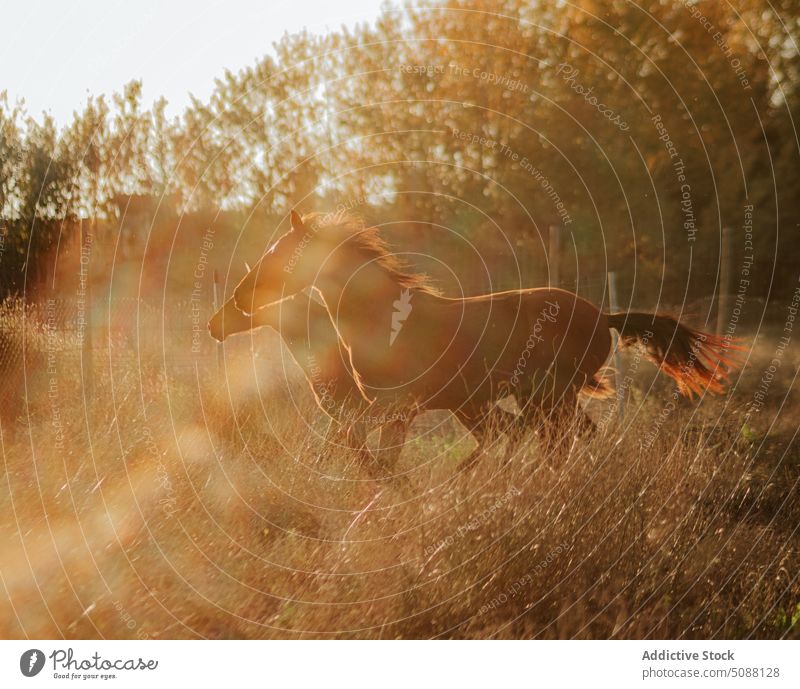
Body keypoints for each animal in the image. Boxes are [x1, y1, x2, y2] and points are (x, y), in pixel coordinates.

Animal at [231, 212, 736, 464]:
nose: (238, 297)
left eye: (280, 253)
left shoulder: (397, 406)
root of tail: (603, 315)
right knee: (570, 438)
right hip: (549, 399)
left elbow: (372, 451)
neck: (380, 318)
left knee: (559, 440)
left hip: (547, 396)